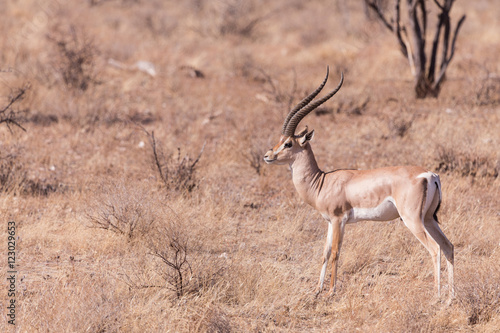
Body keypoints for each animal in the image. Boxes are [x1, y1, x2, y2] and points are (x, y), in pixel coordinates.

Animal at [264, 67, 456, 300]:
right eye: (280, 139)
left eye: (288, 143)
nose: (267, 156)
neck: (322, 182)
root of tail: (430, 175)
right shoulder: (329, 222)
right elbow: (324, 253)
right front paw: (317, 290)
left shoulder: (339, 220)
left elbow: (336, 252)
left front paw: (330, 291)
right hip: (428, 218)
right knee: (448, 246)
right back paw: (451, 298)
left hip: (413, 220)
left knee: (434, 249)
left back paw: (436, 298)